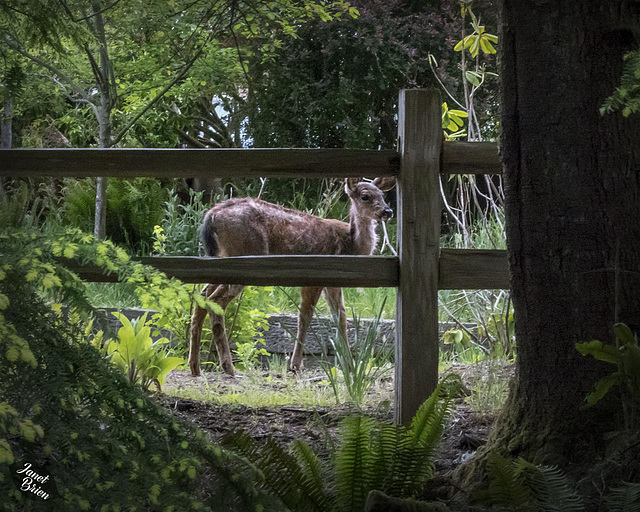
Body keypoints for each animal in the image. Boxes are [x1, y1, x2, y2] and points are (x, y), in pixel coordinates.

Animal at [188, 176, 396, 376]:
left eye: (383, 195)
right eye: (365, 196)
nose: (388, 211)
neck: (351, 246)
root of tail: (211, 216)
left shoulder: (333, 283)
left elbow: (341, 317)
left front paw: (350, 366)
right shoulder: (314, 277)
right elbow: (305, 317)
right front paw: (295, 366)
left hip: (220, 258)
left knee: (202, 296)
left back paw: (195, 367)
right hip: (243, 256)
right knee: (215, 301)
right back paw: (228, 367)